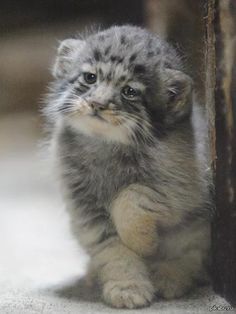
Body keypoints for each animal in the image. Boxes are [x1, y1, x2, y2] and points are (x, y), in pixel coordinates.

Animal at [43, 25, 211, 310]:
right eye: (90, 78)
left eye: (129, 91)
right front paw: (127, 287)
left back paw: (169, 276)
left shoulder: (183, 190)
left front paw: (144, 244)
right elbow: (114, 251)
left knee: (193, 257)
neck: (108, 146)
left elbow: (130, 198)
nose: (97, 104)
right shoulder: (86, 209)